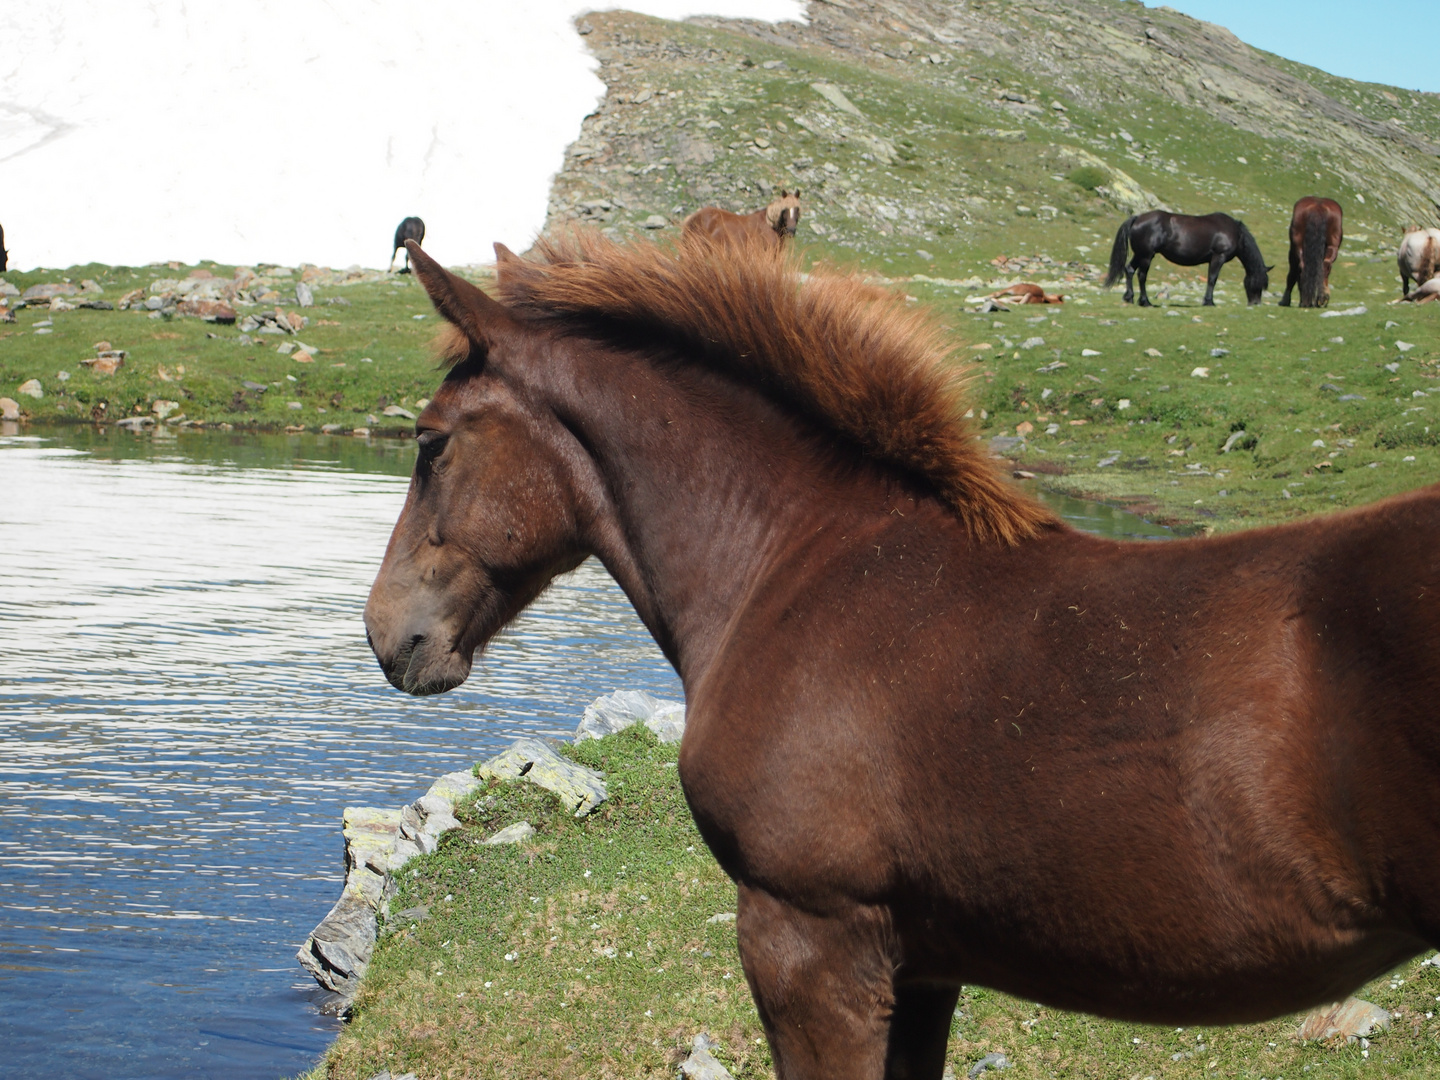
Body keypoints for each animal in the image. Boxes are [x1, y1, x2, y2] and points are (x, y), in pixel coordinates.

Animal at [1100, 208, 1272, 306]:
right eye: (1260, 282)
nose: (1255, 303)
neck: (1235, 232)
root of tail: (1137, 218)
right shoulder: (1218, 257)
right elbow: (1212, 279)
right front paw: (1209, 302)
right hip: (1146, 256)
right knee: (1142, 276)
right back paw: (1145, 301)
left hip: (1140, 254)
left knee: (1129, 270)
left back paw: (1129, 297)